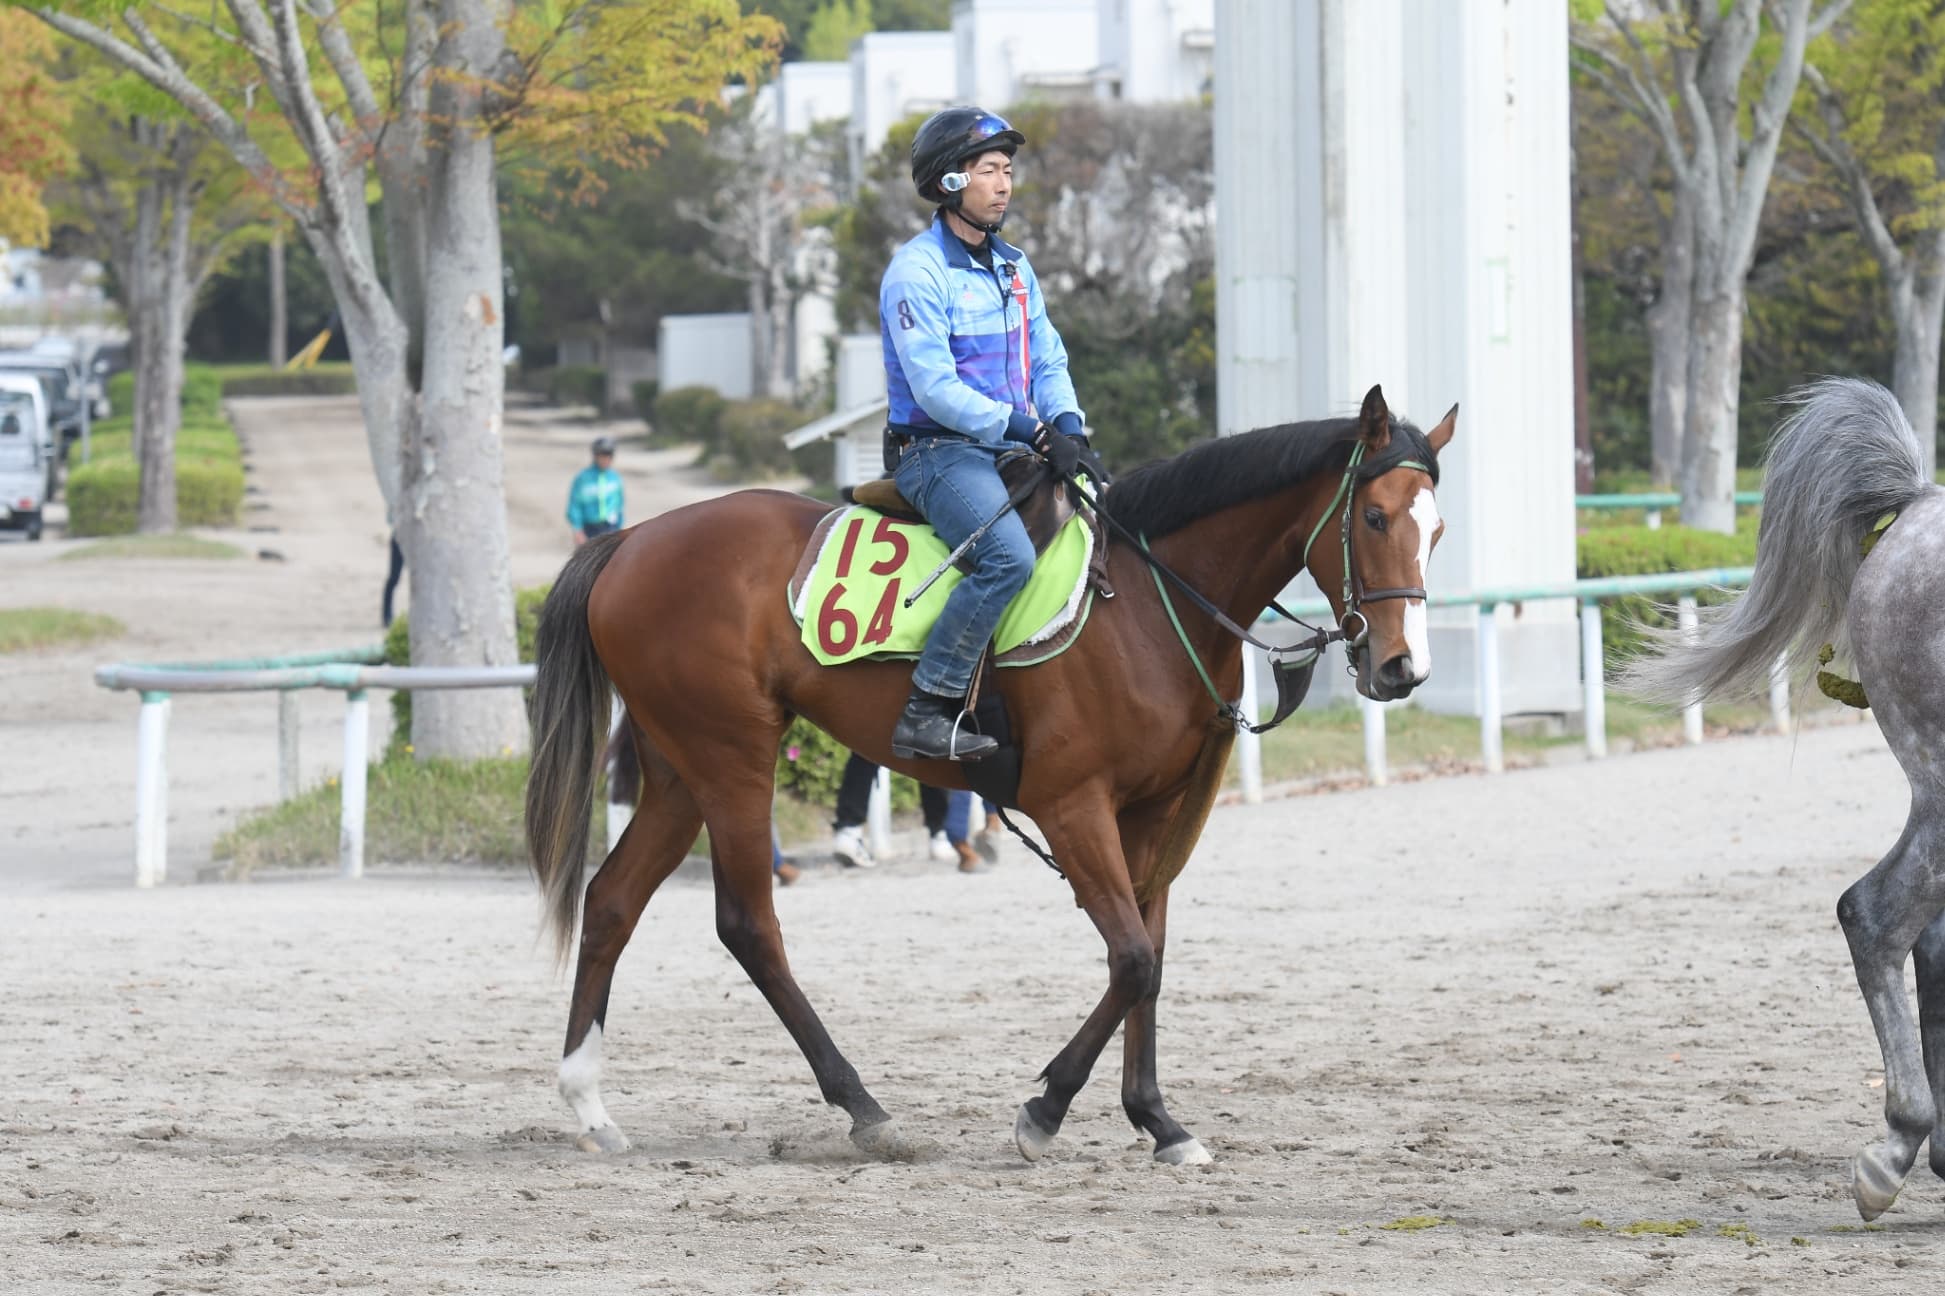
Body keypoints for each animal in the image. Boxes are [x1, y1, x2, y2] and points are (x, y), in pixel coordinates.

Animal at [524, 384, 1456, 1165]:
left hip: (680, 770)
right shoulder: (1072, 805)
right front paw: (1045, 1109)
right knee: (749, 925)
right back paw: (864, 1108)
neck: (1149, 604)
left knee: (611, 901)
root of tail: (632, 540)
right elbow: (1130, 959)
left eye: (1436, 529)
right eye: (1375, 518)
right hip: (732, 759)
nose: (1402, 666)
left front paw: (1157, 1120)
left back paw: (589, 1104)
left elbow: (1150, 958)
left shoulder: (1155, 813)